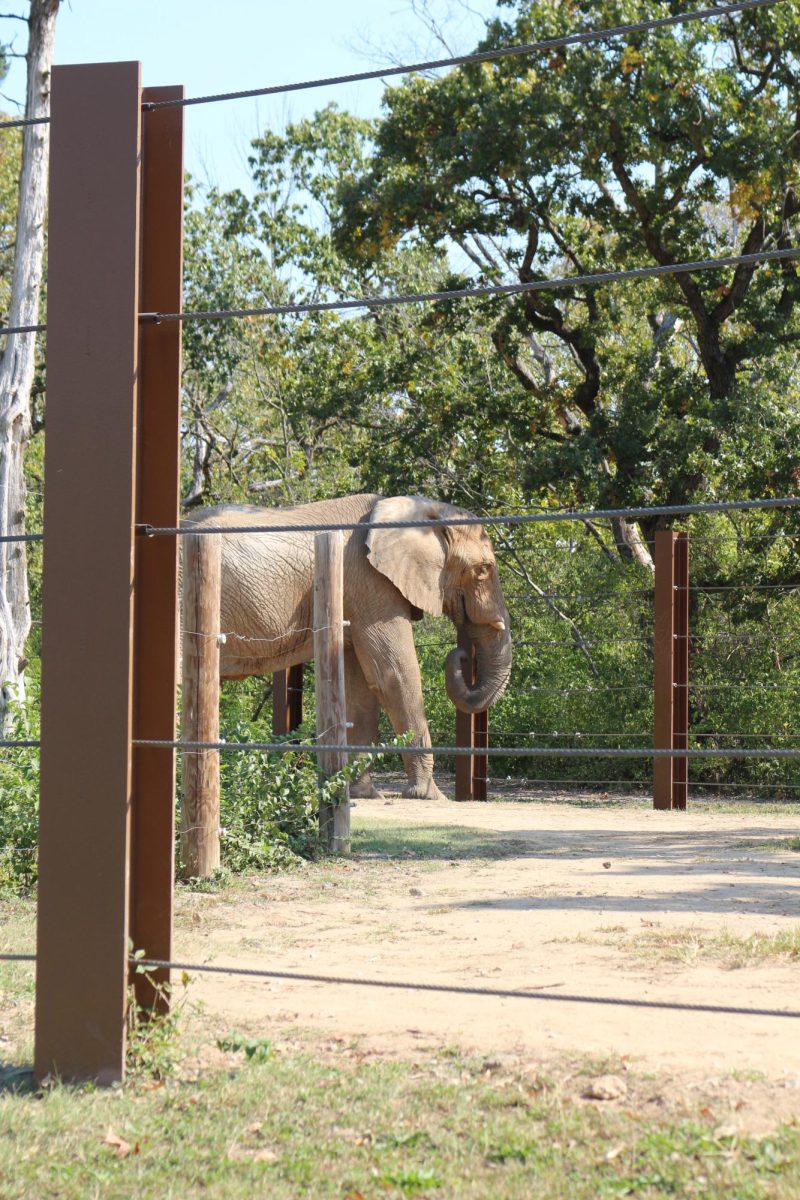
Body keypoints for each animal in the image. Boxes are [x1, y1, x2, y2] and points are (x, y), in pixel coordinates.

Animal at [185, 492, 513, 801]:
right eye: (484, 570)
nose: (460, 654)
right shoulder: (371, 584)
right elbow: (393, 674)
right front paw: (428, 796)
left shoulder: (357, 592)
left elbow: (361, 689)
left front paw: (360, 794)